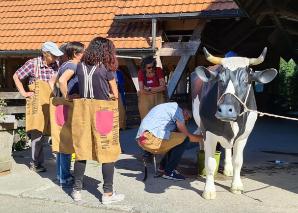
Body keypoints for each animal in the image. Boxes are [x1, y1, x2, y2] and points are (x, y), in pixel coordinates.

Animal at [191, 47, 278, 199]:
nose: (225, 110)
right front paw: (209, 190)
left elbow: (238, 161)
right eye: (220, 80)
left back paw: (228, 168)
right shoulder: (208, 132)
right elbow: (210, 163)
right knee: (201, 141)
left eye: (246, 80)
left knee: (227, 148)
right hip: (201, 126)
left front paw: (236, 185)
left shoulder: (243, 136)